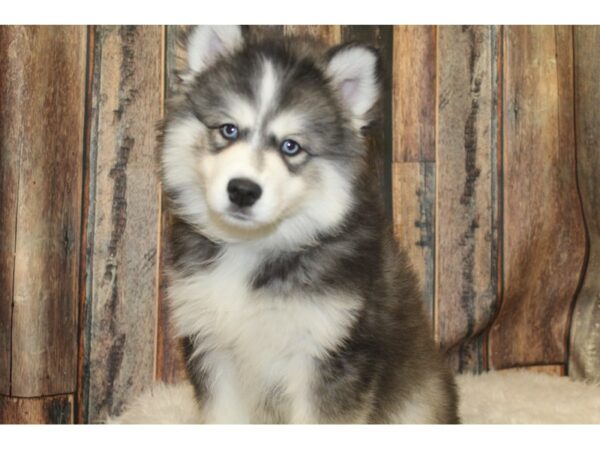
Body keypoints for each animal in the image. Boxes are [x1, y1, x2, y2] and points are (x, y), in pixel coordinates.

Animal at [161, 25, 460, 426]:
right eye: (228, 129)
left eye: (291, 146)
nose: (242, 190)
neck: (254, 249)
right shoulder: (212, 345)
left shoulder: (329, 353)